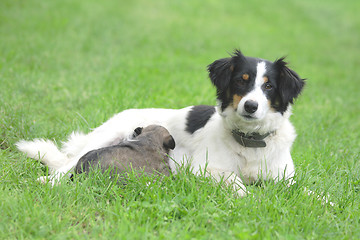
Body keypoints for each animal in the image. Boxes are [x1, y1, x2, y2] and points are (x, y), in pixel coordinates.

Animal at [16, 50, 304, 195]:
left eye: (268, 86)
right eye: (241, 81)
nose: (251, 106)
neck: (250, 142)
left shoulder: (285, 179)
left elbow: (307, 193)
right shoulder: (204, 168)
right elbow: (237, 183)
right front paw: (247, 196)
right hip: (102, 140)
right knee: (64, 166)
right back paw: (47, 182)